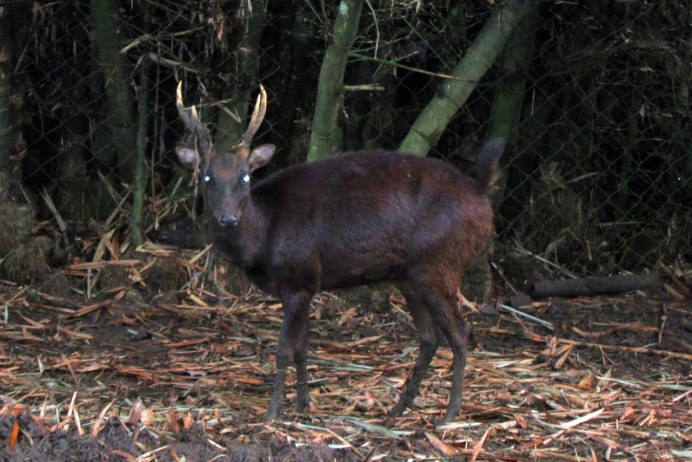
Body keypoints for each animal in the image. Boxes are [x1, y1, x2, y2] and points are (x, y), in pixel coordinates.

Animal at [176, 82, 506, 422]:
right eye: (206, 177)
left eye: (245, 176)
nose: (228, 218)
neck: (263, 238)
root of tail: (481, 194)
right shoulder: (305, 284)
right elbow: (301, 347)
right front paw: (302, 404)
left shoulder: (298, 277)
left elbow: (282, 350)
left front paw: (272, 412)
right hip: (410, 275)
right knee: (429, 337)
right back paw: (399, 407)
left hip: (439, 264)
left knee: (461, 331)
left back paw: (450, 413)